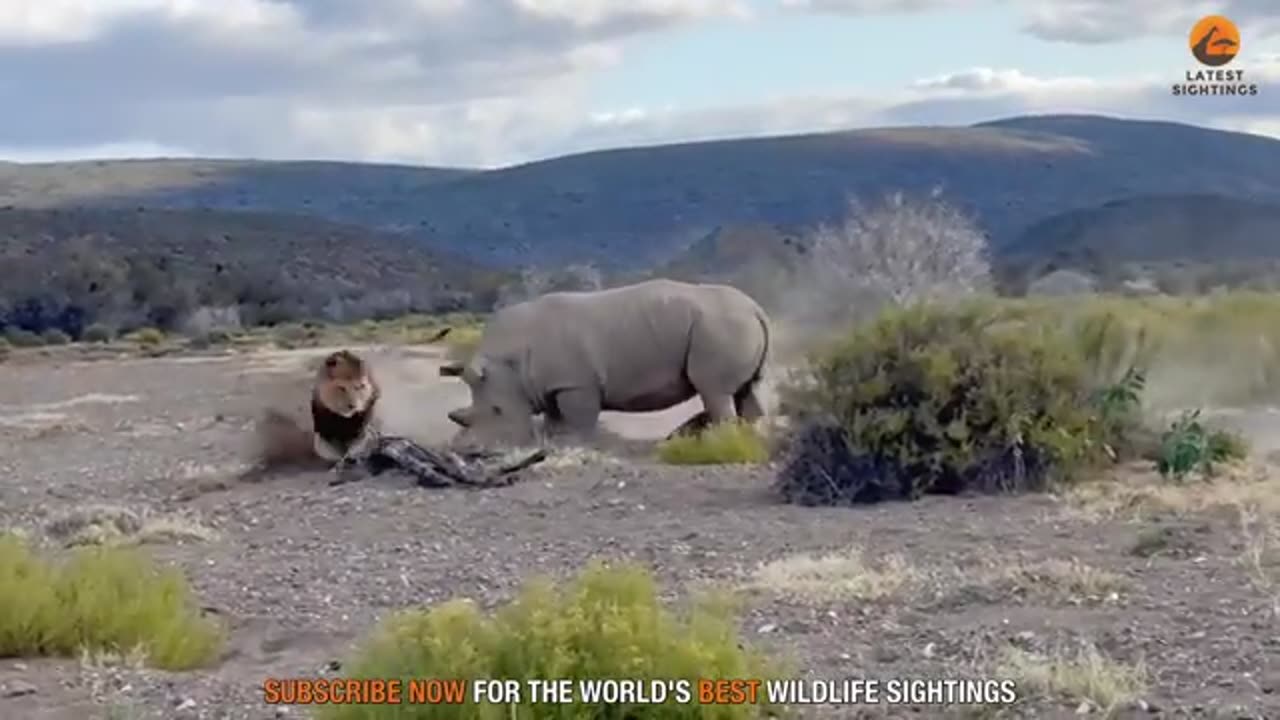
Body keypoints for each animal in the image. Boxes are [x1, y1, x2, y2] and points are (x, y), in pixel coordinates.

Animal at [439, 278, 771, 445]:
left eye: (497, 411)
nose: (468, 450)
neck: (512, 361)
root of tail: (756, 308)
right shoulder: (553, 385)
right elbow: (554, 419)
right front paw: (553, 444)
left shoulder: (576, 384)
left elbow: (580, 419)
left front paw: (581, 446)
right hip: (728, 324)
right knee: (745, 389)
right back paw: (749, 438)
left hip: (720, 326)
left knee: (714, 390)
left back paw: (722, 442)